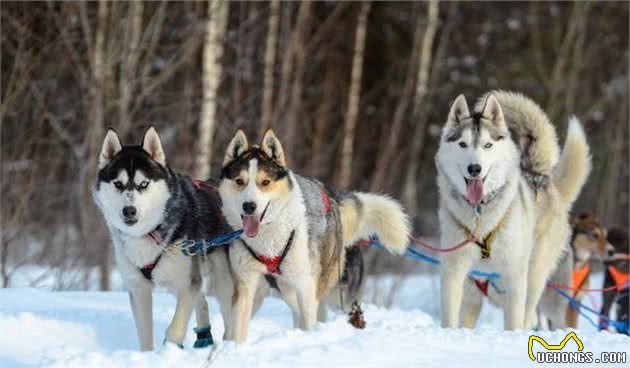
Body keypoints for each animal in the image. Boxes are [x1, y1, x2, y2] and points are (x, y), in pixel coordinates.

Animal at [96, 127, 237, 350]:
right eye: (118, 184)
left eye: (143, 184)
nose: (129, 211)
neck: (149, 232)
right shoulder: (139, 288)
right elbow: (144, 333)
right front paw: (147, 355)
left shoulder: (187, 283)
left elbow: (175, 328)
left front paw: (170, 349)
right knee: (202, 302)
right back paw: (204, 337)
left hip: (222, 280)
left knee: (229, 314)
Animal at [220, 129, 412, 342]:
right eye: (240, 182)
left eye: (265, 182)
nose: (249, 206)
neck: (268, 244)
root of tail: (331, 196)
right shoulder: (246, 287)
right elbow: (237, 330)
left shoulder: (305, 287)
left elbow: (308, 319)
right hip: (281, 292)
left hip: (331, 292)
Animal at [436, 90, 596, 330]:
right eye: (463, 144)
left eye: (488, 145)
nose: (475, 169)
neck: (480, 214)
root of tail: (541, 177)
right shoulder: (454, 272)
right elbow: (450, 319)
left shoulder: (515, 276)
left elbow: (514, 321)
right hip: (475, 294)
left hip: (535, 279)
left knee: (530, 315)